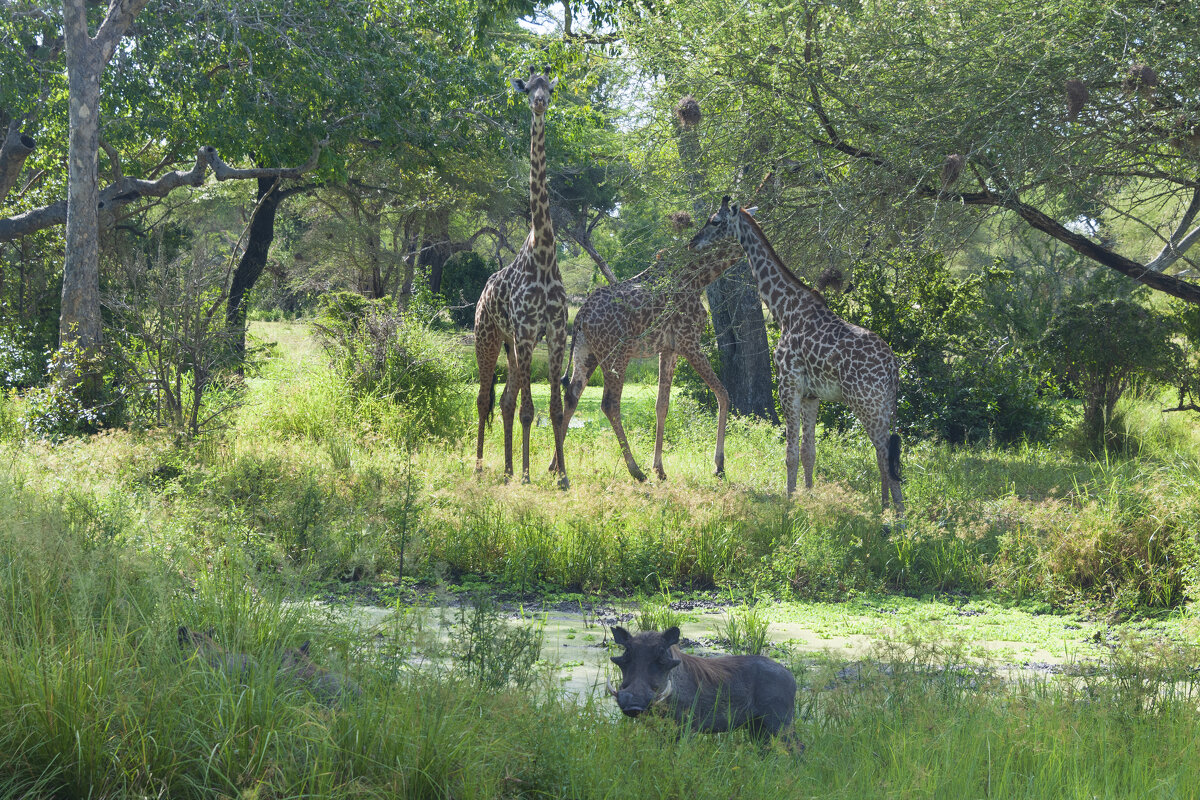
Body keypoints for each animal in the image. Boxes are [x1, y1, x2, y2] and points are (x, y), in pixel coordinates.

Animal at [549, 239, 739, 482]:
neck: (699, 276)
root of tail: (580, 315)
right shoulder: (689, 341)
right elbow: (723, 393)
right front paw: (719, 466)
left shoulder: (668, 348)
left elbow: (662, 404)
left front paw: (660, 468)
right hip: (616, 354)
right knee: (609, 404)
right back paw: (635, 470)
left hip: (585, 352)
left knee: (572, 396)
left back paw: (556, 466)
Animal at [686, 197, 902, 515]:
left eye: (715, 221)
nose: (693, 242)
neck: (784, 309)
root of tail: (892, 367)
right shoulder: (812, 394)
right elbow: (809, 451)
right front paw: (810, 498)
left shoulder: (788, 384)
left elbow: (790, 452)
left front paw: (789, 502)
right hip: (884, 406)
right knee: (886, 454)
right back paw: (886, 508)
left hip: (866, 403)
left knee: (886, 454)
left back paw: (896, 517)